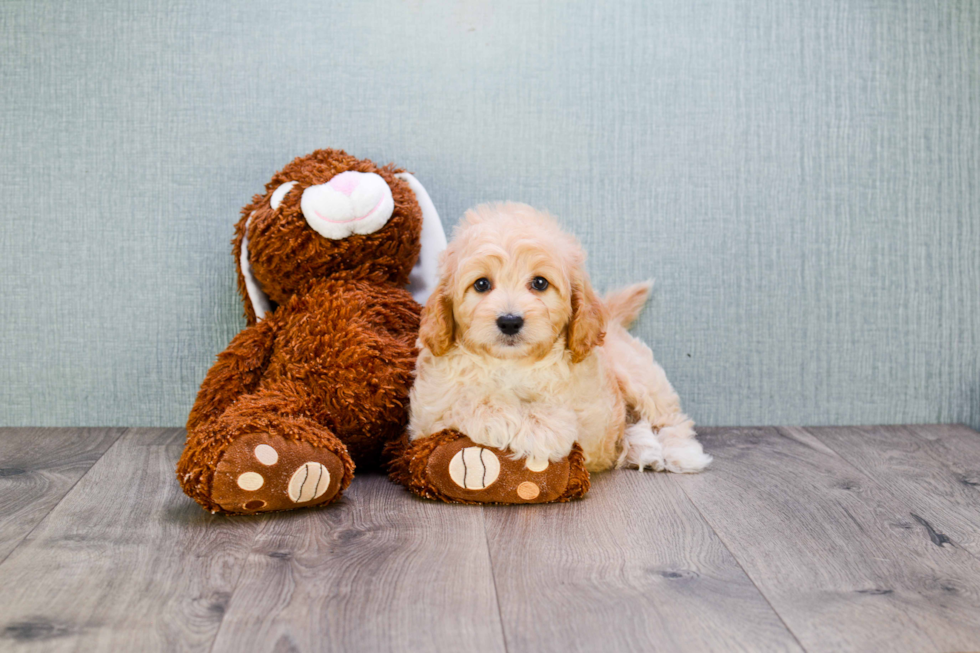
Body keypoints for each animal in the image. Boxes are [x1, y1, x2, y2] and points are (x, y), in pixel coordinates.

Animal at [408, 204, 712, 474]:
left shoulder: (593, 411)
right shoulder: (427, 415)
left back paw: (680, 453)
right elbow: (466, 403)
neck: (511, 363)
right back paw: (643, 449)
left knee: (668, 418)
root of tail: (611, 318)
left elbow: (560, 415)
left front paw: (539, 431)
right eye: (481, 284)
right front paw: (508, 419)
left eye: (540, 283)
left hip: (638, 375)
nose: (510, 321)